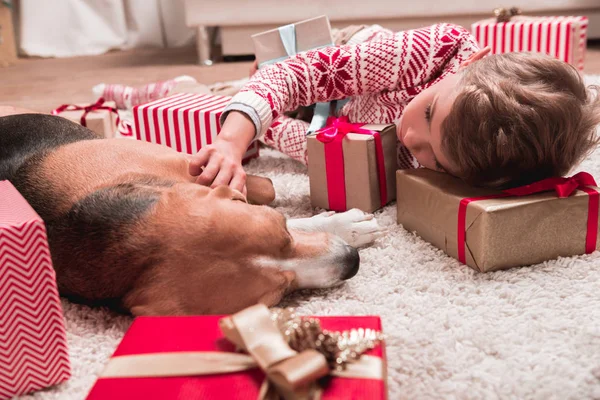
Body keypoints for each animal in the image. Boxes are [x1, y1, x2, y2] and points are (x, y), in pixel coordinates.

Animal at [1, 111, 380, 316]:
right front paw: (349, 225)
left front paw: (342, 222)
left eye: (282, 233)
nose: (352, 261)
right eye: (279, 295)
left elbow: (269, 193)